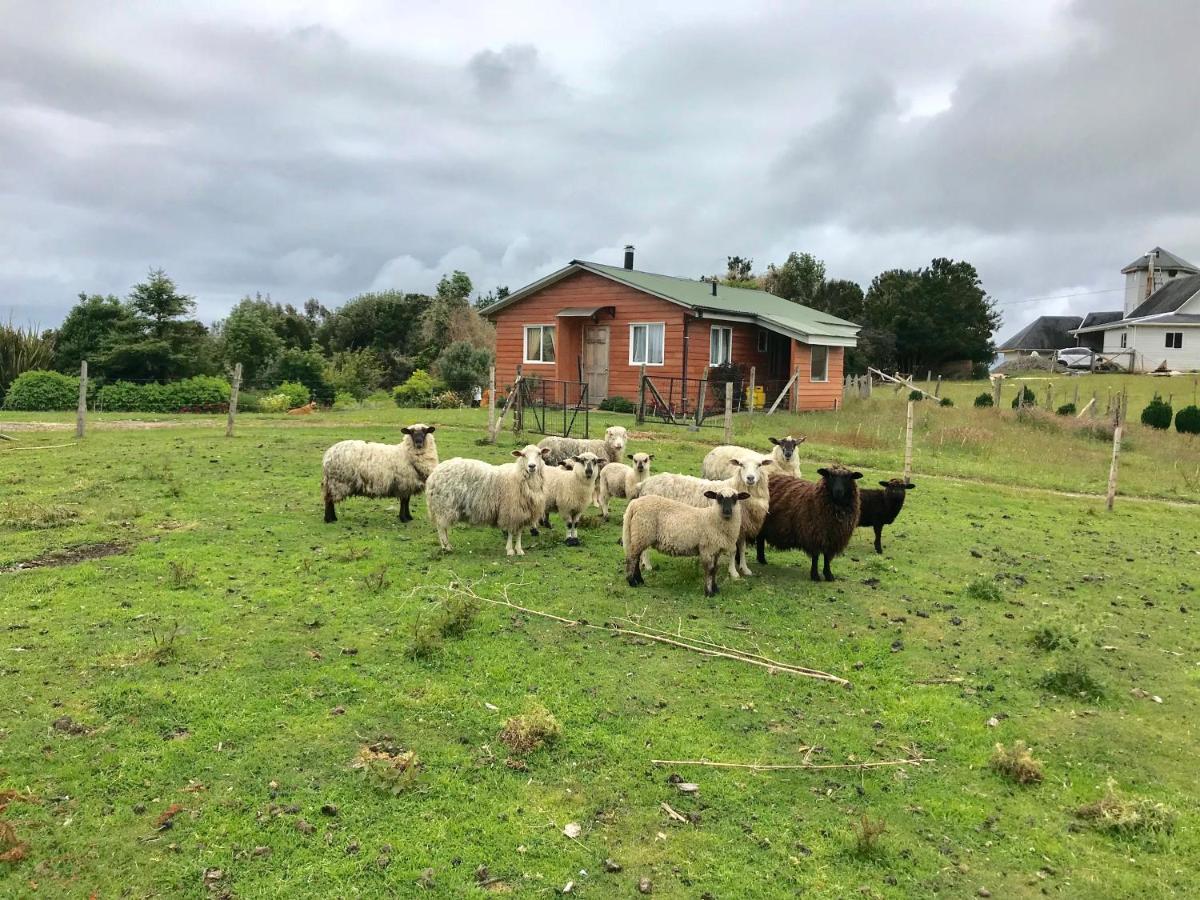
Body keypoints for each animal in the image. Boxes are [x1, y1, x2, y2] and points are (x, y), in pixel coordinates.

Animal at [633, 453, 772, 580]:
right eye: (741, 465)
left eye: (759, 465)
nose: (750, 478)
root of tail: (644, 483)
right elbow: (733, 550)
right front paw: (733, 573)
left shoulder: (742, 527)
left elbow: (742, 549)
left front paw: (745, 569)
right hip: (648, 520)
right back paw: (647, 565)